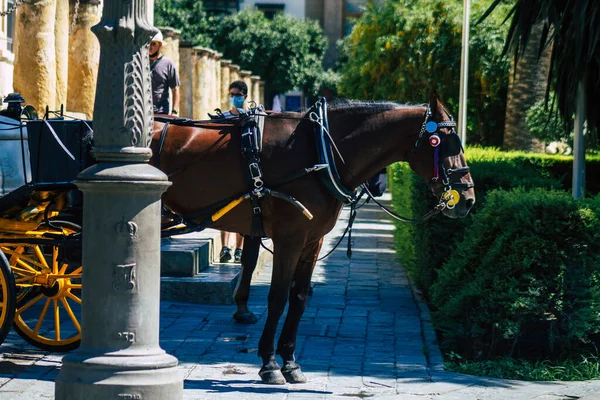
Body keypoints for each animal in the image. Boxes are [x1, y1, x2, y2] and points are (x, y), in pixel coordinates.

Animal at [152, 93, 476, 384]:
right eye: (445, 142)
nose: (468, 199)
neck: (319, 152)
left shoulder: (311, 241)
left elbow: (299, 298)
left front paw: (290, 363)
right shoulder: (289, 240)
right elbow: (278, 297)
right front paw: (270, 364)